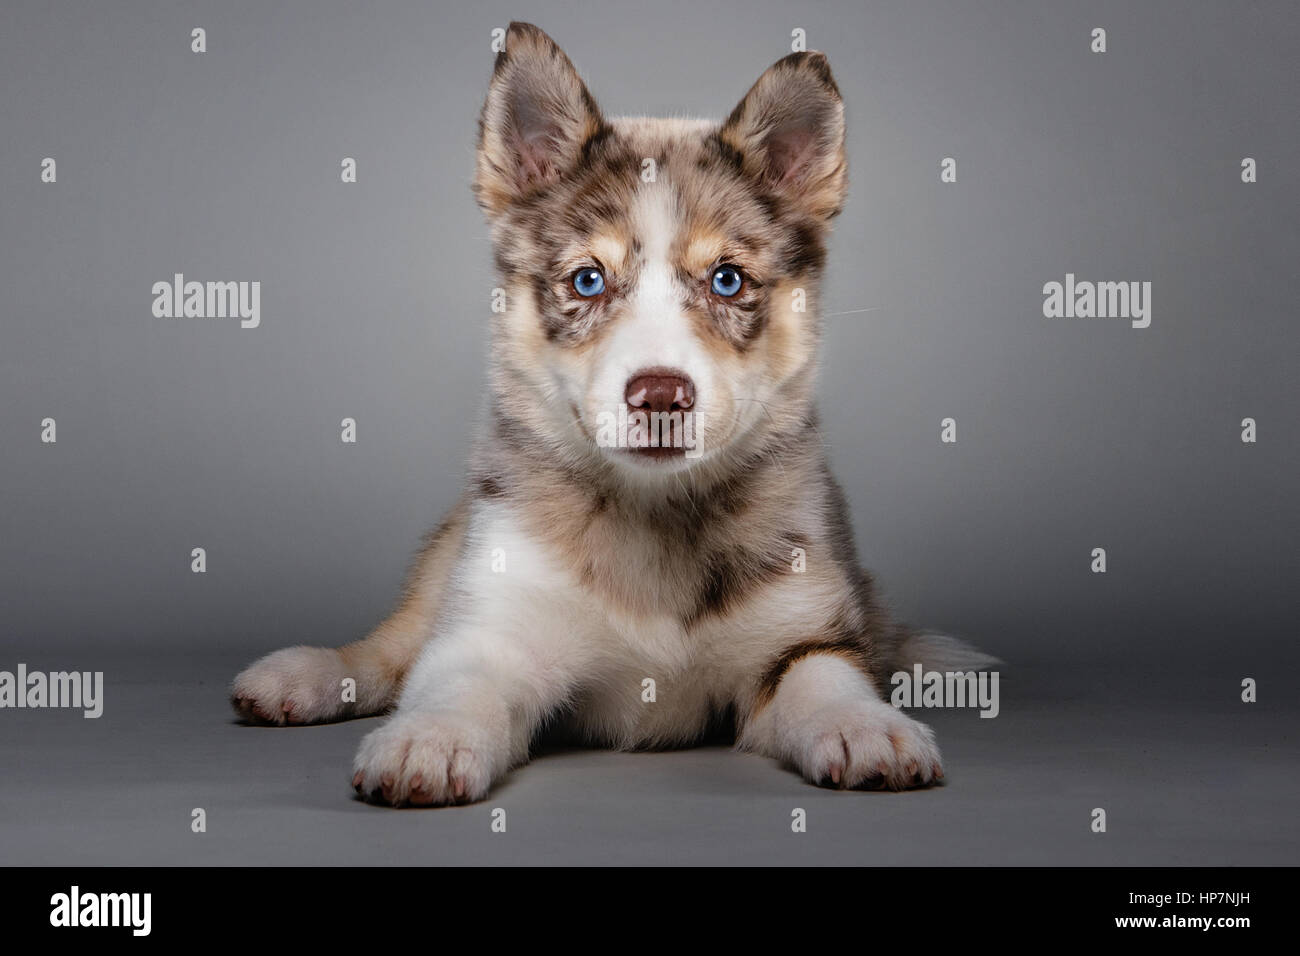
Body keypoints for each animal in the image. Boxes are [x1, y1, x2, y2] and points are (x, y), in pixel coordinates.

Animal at [231, 22, 993, 806]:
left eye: (727, 280)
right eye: (588, 281)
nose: (660, 396)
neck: (652, 519)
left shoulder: (800, 630)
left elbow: (828, 680)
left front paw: (866, 726)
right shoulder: (493, 625)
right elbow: (451, 683)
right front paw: (429, 739)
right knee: (393, 649)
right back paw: (307, 674)